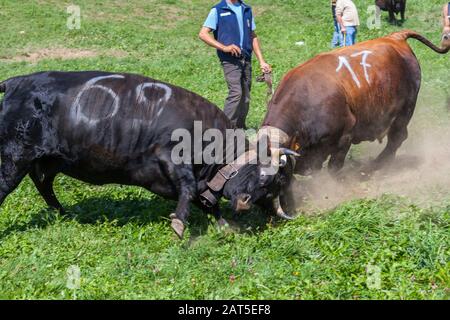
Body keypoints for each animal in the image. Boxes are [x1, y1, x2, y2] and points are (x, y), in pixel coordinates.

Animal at [0, 72, 296, 238]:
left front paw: (224, 224)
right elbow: (189, 189)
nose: (245, 203)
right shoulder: (170, 157)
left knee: (43, 184)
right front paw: (179, 224)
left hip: (51, 160)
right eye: (263, 176)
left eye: (271, 189)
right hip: (14, 156)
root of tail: (17, 82)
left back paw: (63, 213)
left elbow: (205, 200)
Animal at [260, 30, 450, 210]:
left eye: (276, 178)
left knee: (397, 138)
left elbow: (333, 167)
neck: (304, 102)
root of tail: (396, 37)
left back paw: (377, 166)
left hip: (405, 110)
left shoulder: (345, 137)